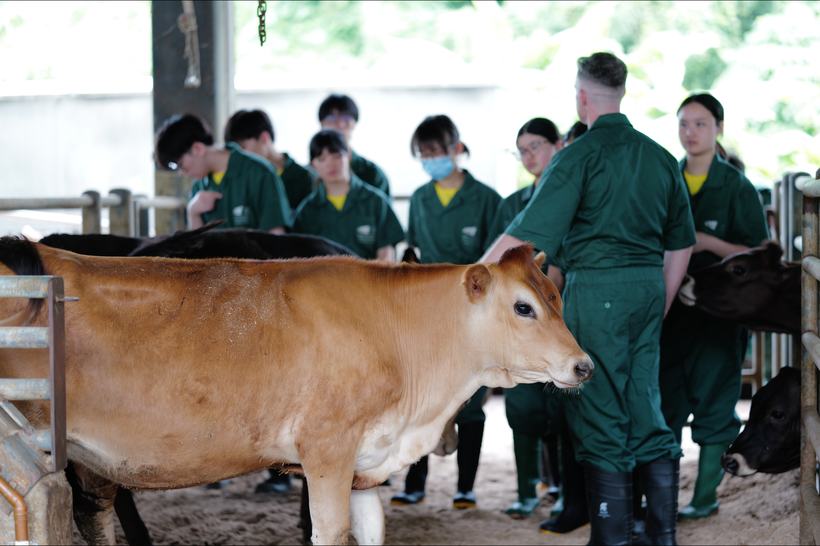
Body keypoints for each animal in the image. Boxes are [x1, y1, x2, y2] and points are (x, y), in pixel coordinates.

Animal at [0, 238, 592, 545]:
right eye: (523, 307)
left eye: (558, 298)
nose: (583, 366)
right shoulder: (326, 451)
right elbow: (328, 533)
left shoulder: (364, 464)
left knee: (95, 511)